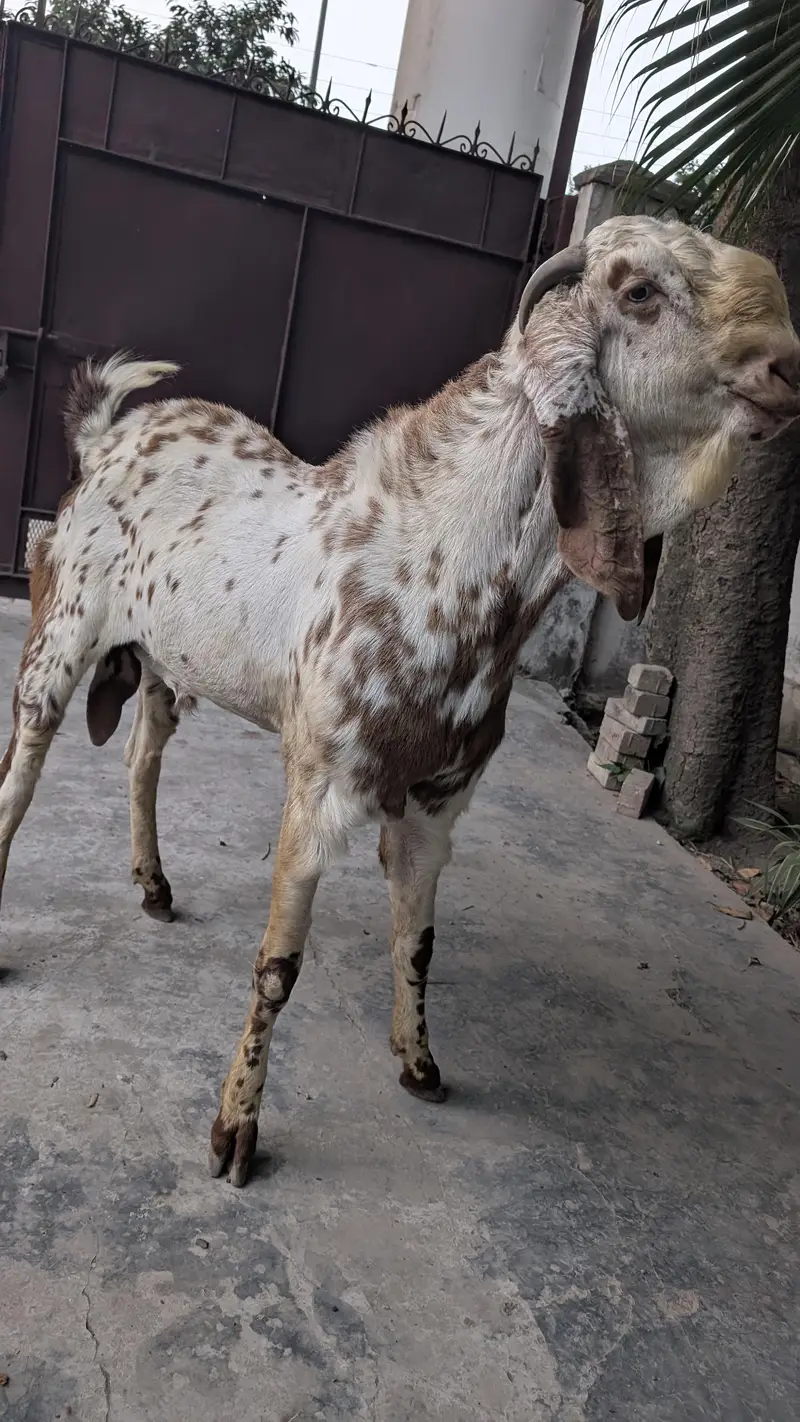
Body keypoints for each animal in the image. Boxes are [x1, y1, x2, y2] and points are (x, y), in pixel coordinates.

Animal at [2, 214, 799, 1187]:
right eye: (640, 291)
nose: (786, 365)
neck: (431, 561)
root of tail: (105, 437)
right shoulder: (319, 786)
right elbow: (278, 966)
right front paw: (234, 1132)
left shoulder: (437, 804)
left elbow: (419, 940)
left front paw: (419, 1064)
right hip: (61, 632)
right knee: (20, 775)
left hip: (159, 664)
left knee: (140, 754)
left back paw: (154, 885)